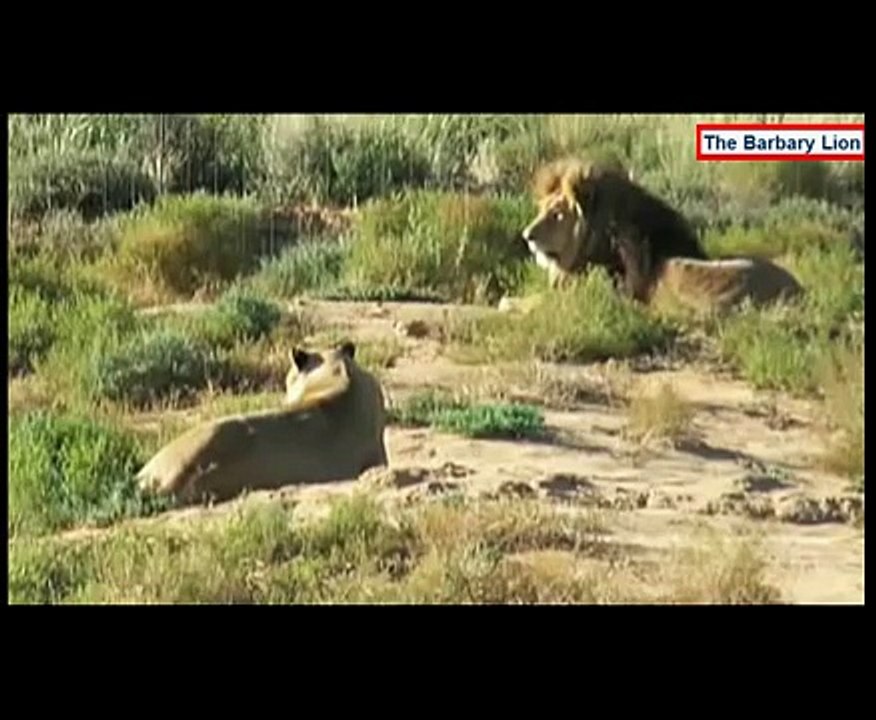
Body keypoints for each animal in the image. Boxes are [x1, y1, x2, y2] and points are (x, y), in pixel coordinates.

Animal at [509, 158, 802, 313]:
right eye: (542, 210)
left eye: (557, 214)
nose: (526, 236)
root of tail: (800, 292)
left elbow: (524, 302)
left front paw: (508, 305)